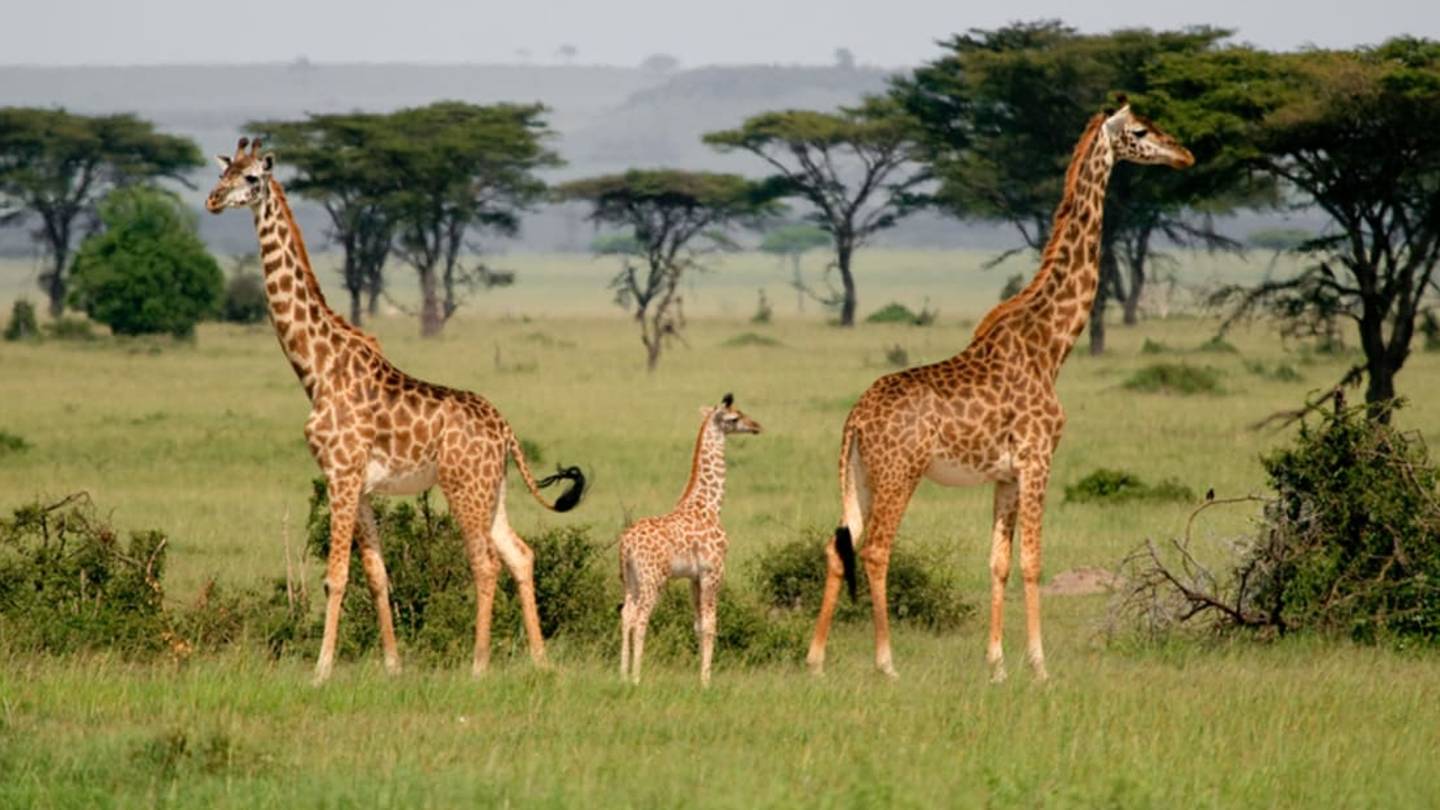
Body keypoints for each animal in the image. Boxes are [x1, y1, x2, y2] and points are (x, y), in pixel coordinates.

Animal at [205, 138, 586, 683]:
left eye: (252, 178)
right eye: (225, 170)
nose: (213, 200)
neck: (316, 369)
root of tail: (506, 430)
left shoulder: (340, 474)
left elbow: (336, 575)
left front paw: (321, 670)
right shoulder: (360, 485)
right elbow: (377, 574)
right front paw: (391, 664)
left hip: (463, 487)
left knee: (486, 562)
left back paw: (479, 665)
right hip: (493, 489)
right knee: (521, 555)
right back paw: (541, 661)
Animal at [619, 394, 762, 686]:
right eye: (734, 418)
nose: (756, 426)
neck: (710, 504)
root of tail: (625, 544)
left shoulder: (693, 577)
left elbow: (697, 625)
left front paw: (700, 676)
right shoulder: (713, 571)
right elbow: (710, 624)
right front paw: (706, 681)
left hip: (630, 580)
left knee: (626, 615)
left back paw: (622, 675)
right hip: (653, 579)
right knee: (640, 618)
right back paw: (636, 677)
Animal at [806, 100, 1194, 682]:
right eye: (1142, 131)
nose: (1185, 154)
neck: (1051, 345)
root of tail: (855, 418)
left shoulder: (1005, 475)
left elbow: (998, 562)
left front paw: (997, 665)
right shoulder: (1038, 460)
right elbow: (1032, 561)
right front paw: (1039, 665)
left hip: (861, 476)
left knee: (839, 547)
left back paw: (815, 660)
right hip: (899, 474)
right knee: (874, 549)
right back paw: (886, 663)